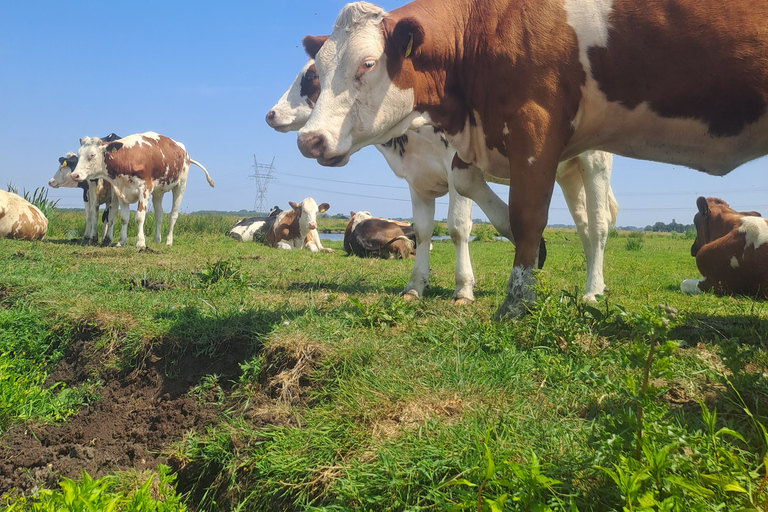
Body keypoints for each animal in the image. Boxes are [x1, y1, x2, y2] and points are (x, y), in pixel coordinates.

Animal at [69, 132, 214, 248]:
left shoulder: (144, 190)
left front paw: (140, 243)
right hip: (158, 192)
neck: (128, 158)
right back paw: (157, 239)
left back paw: (168, 241)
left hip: (180, 185)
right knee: (159, 214)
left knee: (173, 215)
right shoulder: (121, 192)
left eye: (92, 155)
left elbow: (139, 217)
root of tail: (184, 152)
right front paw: (121, 241)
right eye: (78, 155)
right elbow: (124, 218)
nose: (74, 175)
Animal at [268, 57, 616, 304]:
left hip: (594, 161)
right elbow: (423, 231)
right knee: (584, 227)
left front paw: (463, 290)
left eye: (312, 75)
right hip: (568, 172)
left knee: (599, 225)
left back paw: (592, 292)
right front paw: (415, 286)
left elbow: (458, 228)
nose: (271, 113)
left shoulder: (456, 167)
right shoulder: (417, 178)